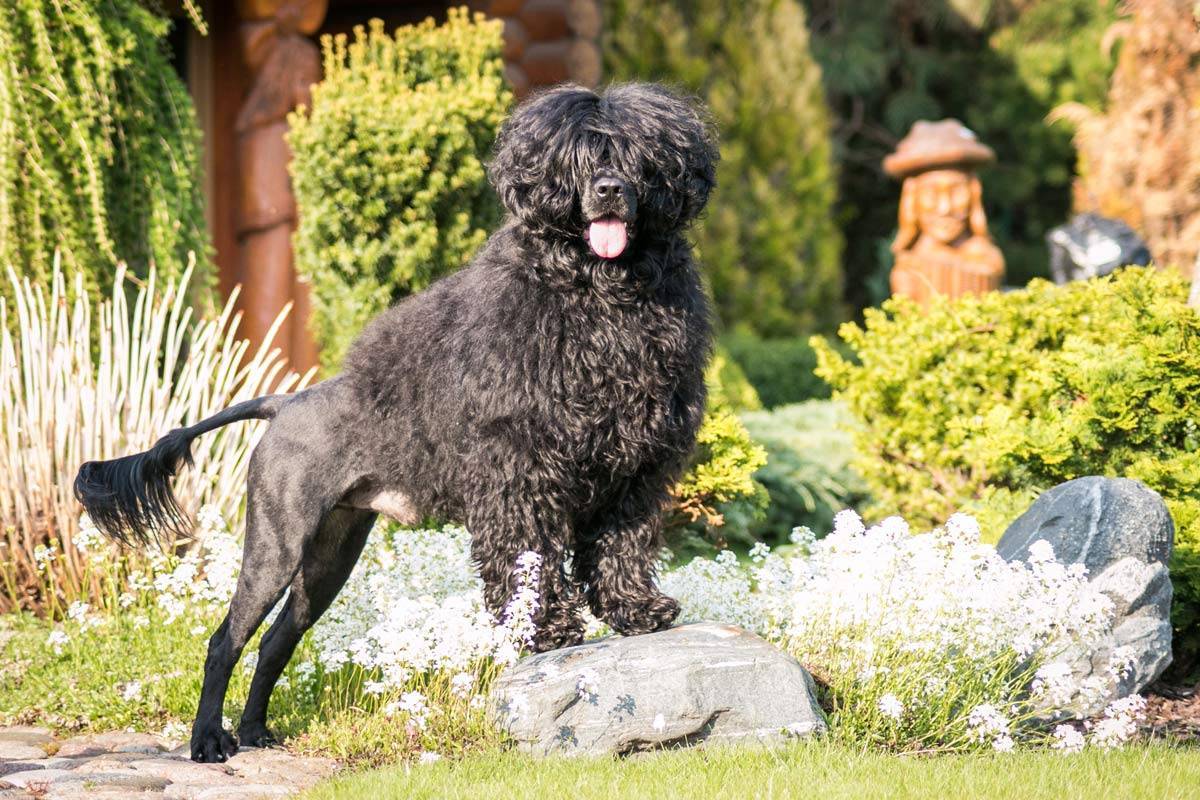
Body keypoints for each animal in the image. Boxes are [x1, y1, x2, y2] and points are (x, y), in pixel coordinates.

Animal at [75, 81, 715, 762]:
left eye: (638, 157)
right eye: (578, 159)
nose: (609, 190)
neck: (596, 292)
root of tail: (287, 402)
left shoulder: (636, 468)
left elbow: (622, 544)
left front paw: (638, 611)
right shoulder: (521, 471)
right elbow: (530, 557)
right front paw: (546, 629)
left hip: (329, 556)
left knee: (275, 643)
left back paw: (253, 732)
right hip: (276, 543)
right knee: (226, 641)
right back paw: (208, 741)